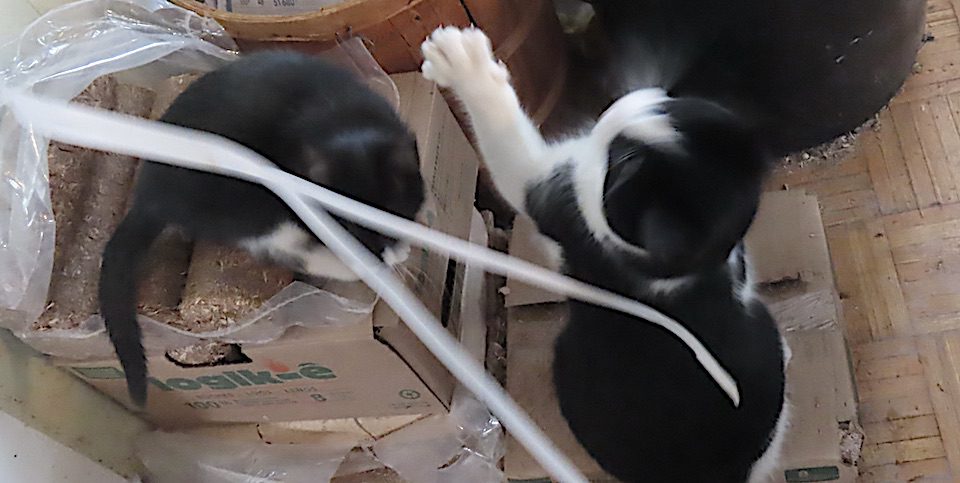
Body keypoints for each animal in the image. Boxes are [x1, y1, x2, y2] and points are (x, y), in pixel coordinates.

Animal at [421, 27, 788, 482]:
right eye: (664, 103)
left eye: (623, 161)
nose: (615, 110)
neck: (688, 268)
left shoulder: (554, 199)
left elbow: (509, 148)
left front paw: (462, 62)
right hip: (762, 333)